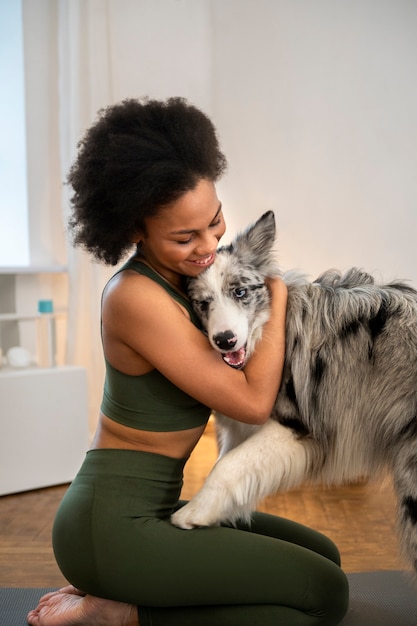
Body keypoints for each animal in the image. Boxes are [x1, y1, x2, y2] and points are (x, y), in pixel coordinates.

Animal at [170, 212, 417, 572]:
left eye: (240, 292)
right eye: (203, 303)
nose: (225, 340)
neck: (267, 331)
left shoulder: (297, 425)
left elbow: (228, 465)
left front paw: (193, 512)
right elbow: (229, 462)